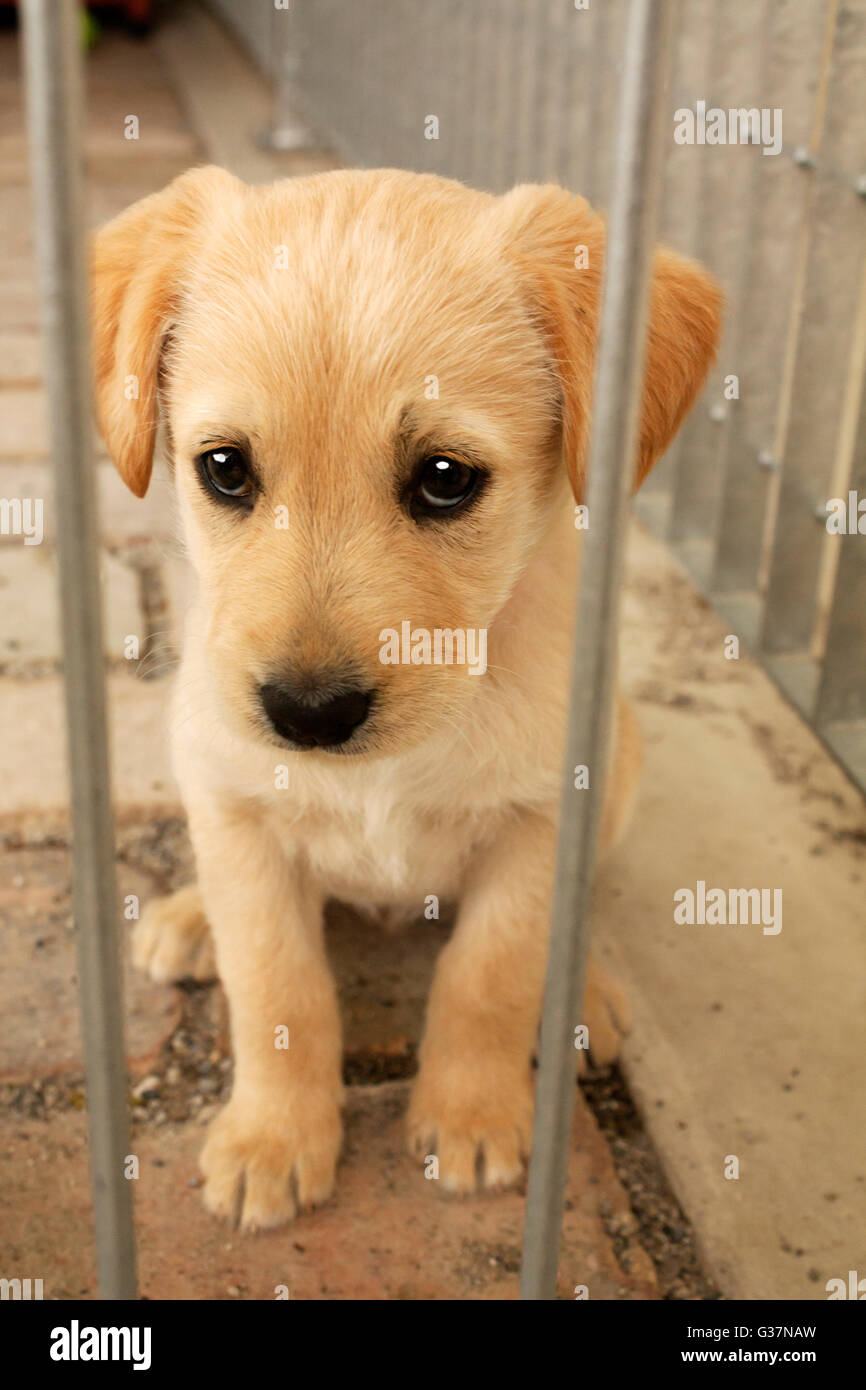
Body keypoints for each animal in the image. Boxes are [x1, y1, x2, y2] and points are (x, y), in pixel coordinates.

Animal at [91, 165, 722, 1228]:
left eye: (444, 479)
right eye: (224, 468)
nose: (308, 714)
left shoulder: (542, 819)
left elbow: (488, 974)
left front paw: (472, 1116)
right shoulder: (237, 809)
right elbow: (278, 989)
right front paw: (273, 1137)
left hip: (621, 761)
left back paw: (584, 990)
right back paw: (185, 918)